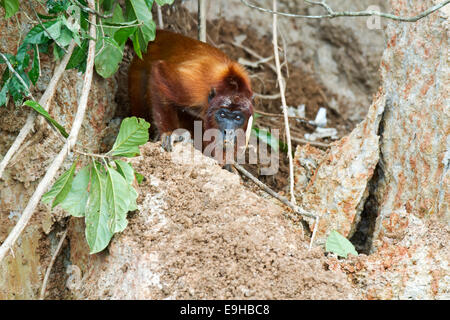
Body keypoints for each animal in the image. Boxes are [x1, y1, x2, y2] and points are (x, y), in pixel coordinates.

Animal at [128, 29, 253, 165]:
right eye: (222, 115)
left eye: (237, 118)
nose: (228, 132)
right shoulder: (193, 87)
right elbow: (159, 72)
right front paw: (170, 133)